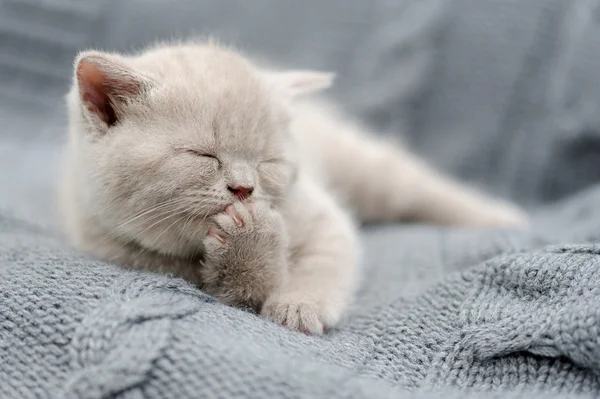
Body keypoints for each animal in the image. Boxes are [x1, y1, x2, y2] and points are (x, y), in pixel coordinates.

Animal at [59, 41, 524, 334]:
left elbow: (324, 263)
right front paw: (252, 246)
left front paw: (299, 306)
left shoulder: (323, 221)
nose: (244, 189)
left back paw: (501, 218)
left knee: (417, 185)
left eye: (268, 162)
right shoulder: (130, 254)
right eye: (203, 155)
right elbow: (239, 288)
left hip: (367, 167)